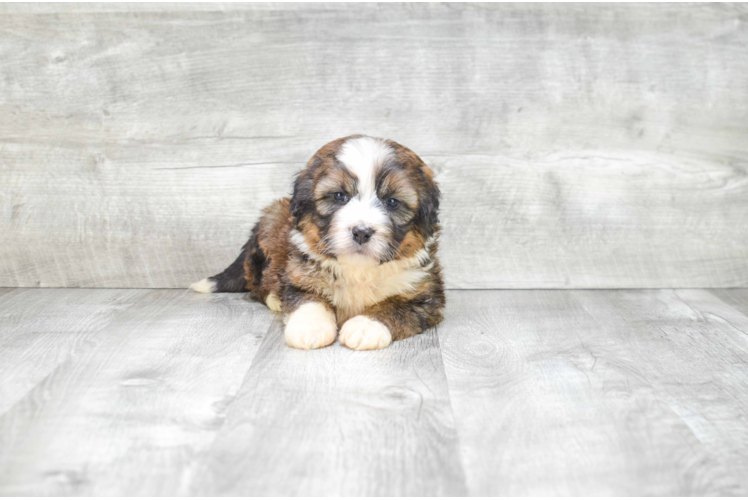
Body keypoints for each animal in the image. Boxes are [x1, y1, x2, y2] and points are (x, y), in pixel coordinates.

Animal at [191, 135, 444, 350]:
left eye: (392, 201)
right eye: (339, 196)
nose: (361, 232)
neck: (358, 269)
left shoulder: (426, 295)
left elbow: (396, 306)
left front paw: (365, 326)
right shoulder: (299, 274)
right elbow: (308, 299)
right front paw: (309, 328)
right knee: (258, 285)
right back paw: (274, 299)